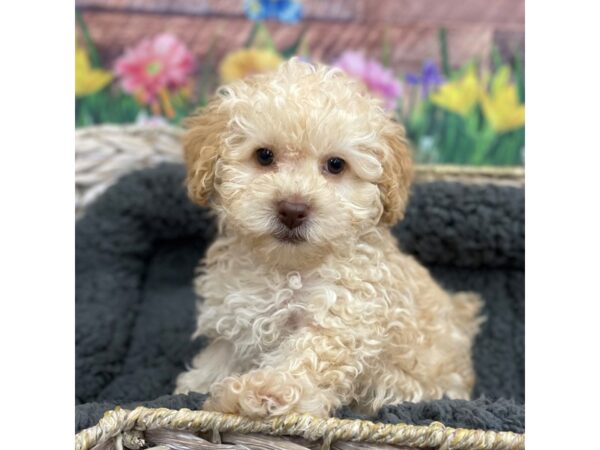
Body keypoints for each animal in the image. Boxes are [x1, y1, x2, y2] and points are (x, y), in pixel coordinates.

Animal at [175, 59, 482, 418]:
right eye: (264, 156)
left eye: (336, 165)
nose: (293, 209)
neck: (286, 270)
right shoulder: (237, 312)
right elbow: (222, 352)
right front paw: (195, 385)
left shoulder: (345, 315)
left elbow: (305, 357)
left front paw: (262, 391)